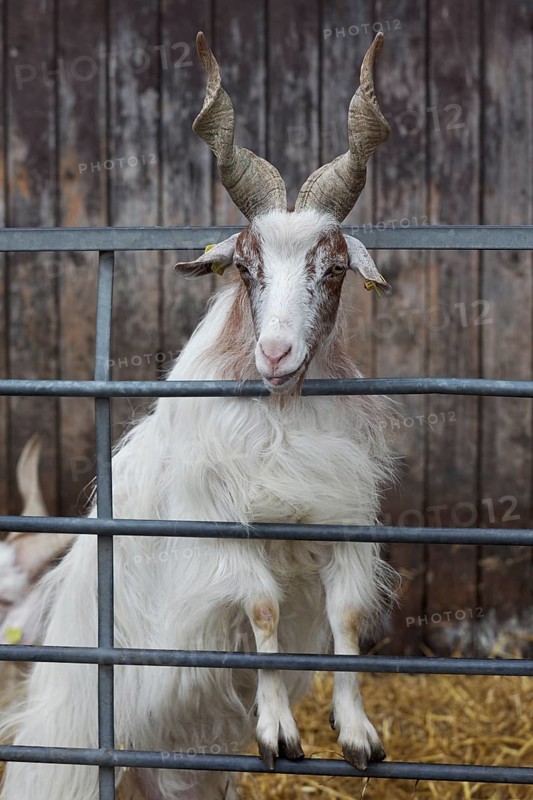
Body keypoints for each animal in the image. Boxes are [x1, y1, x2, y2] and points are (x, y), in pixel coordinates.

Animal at [1, 32, 397, 800]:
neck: (280, 414)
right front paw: (278, 734)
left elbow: (345, 616)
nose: (275, 353)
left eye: (333, 269)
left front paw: (359, 735)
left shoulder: (341, 518)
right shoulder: (224, 532)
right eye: (244, 267)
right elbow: (263, 610)